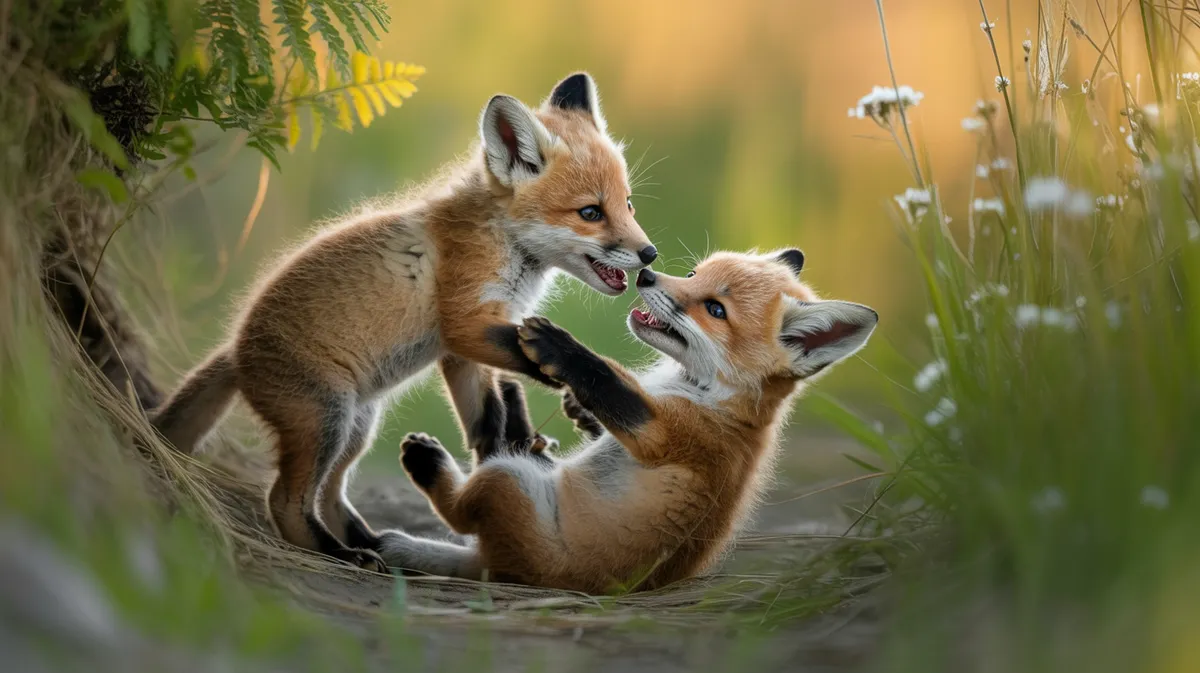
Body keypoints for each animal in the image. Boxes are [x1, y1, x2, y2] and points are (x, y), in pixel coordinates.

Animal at [149, 73, 656, 572]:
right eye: (590, 212)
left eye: (629, 205)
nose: (650, 254)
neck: (502, 241)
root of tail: (235, 349)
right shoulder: (464, 322)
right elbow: (521, 357)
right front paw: (573, 376)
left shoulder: (462, 352)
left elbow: (485, 419)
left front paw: (500, 455)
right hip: (326, 421)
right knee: (285, 501)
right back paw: (341, 553)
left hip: (355, 427)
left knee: (330, 494)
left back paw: (375, 544)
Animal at [377, 249, 879, 593]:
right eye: (694, 274)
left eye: (715, 310)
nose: (646, 274)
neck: (714, 400)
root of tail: (506, 570)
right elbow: (609, 400)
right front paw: (579, 410)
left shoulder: (665, 432)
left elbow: (609, 380)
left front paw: (561, 348)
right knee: (506, 452)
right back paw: (516, 417)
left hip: (509, 482)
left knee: (461, 510)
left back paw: (427, 463)